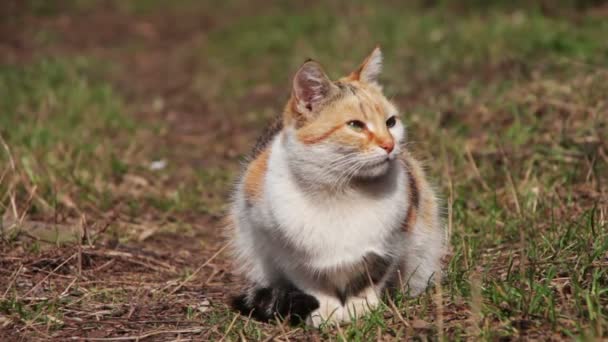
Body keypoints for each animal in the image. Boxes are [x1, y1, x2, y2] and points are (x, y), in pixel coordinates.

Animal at [226, 46, 444, 326]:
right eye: (355, 125)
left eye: (391, 122)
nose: (390, 145)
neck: (341, 191)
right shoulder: (281, 249)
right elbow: (311, 283)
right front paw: (326, 311)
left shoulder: (393, 241)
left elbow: (371, 277)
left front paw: (361, 307)